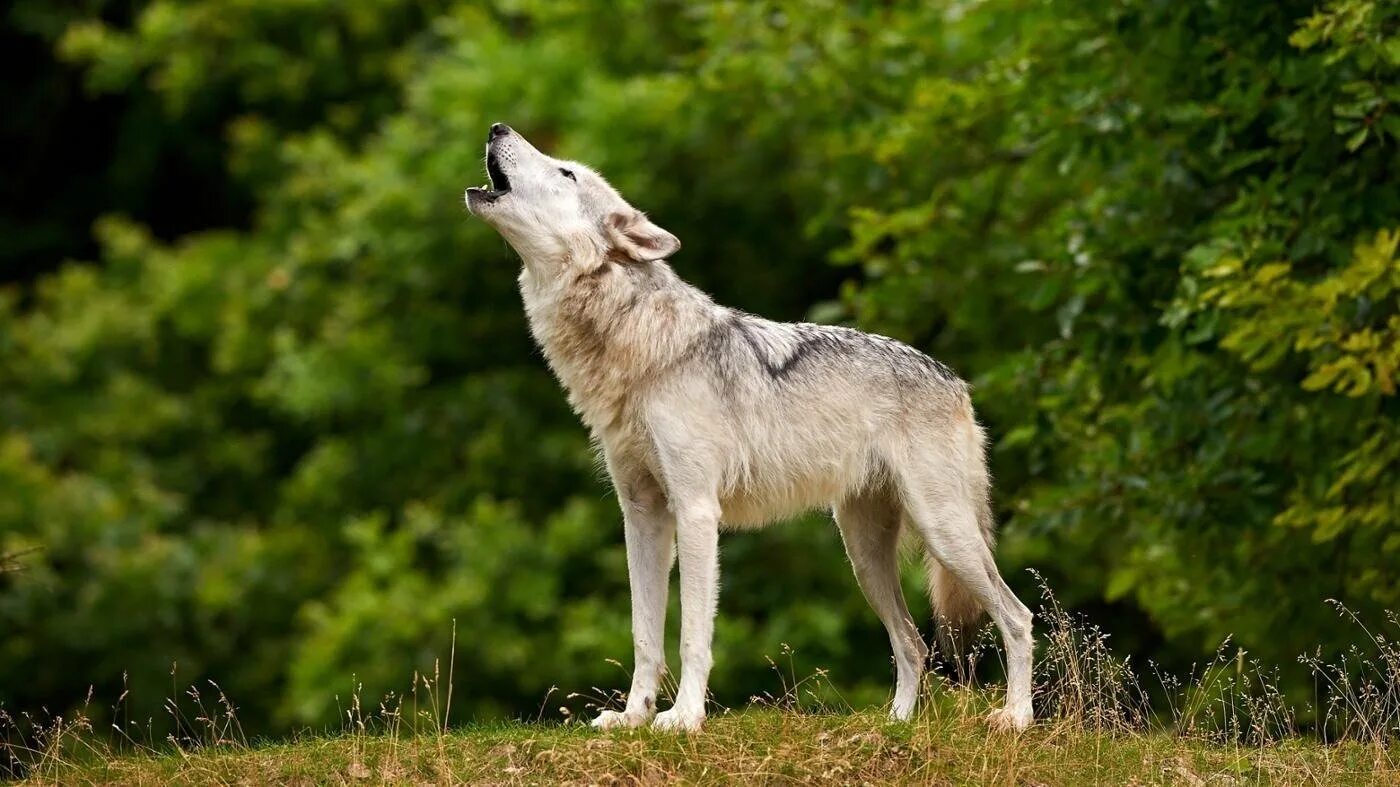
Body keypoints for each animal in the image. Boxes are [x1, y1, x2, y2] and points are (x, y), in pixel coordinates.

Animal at [464, 121, 1036, 728]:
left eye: (567, 172)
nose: (497, 126)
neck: (636, 346)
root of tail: (956, 381)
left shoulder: (695, 511)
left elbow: (692, 633)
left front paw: (684, 718)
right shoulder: (641, 516)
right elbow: (645, 636)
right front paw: (633, 718)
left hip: (942, 533)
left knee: (1017, 618)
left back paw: (1015, 718)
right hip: (864, 554)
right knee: (913, 642)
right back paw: (897, 723)